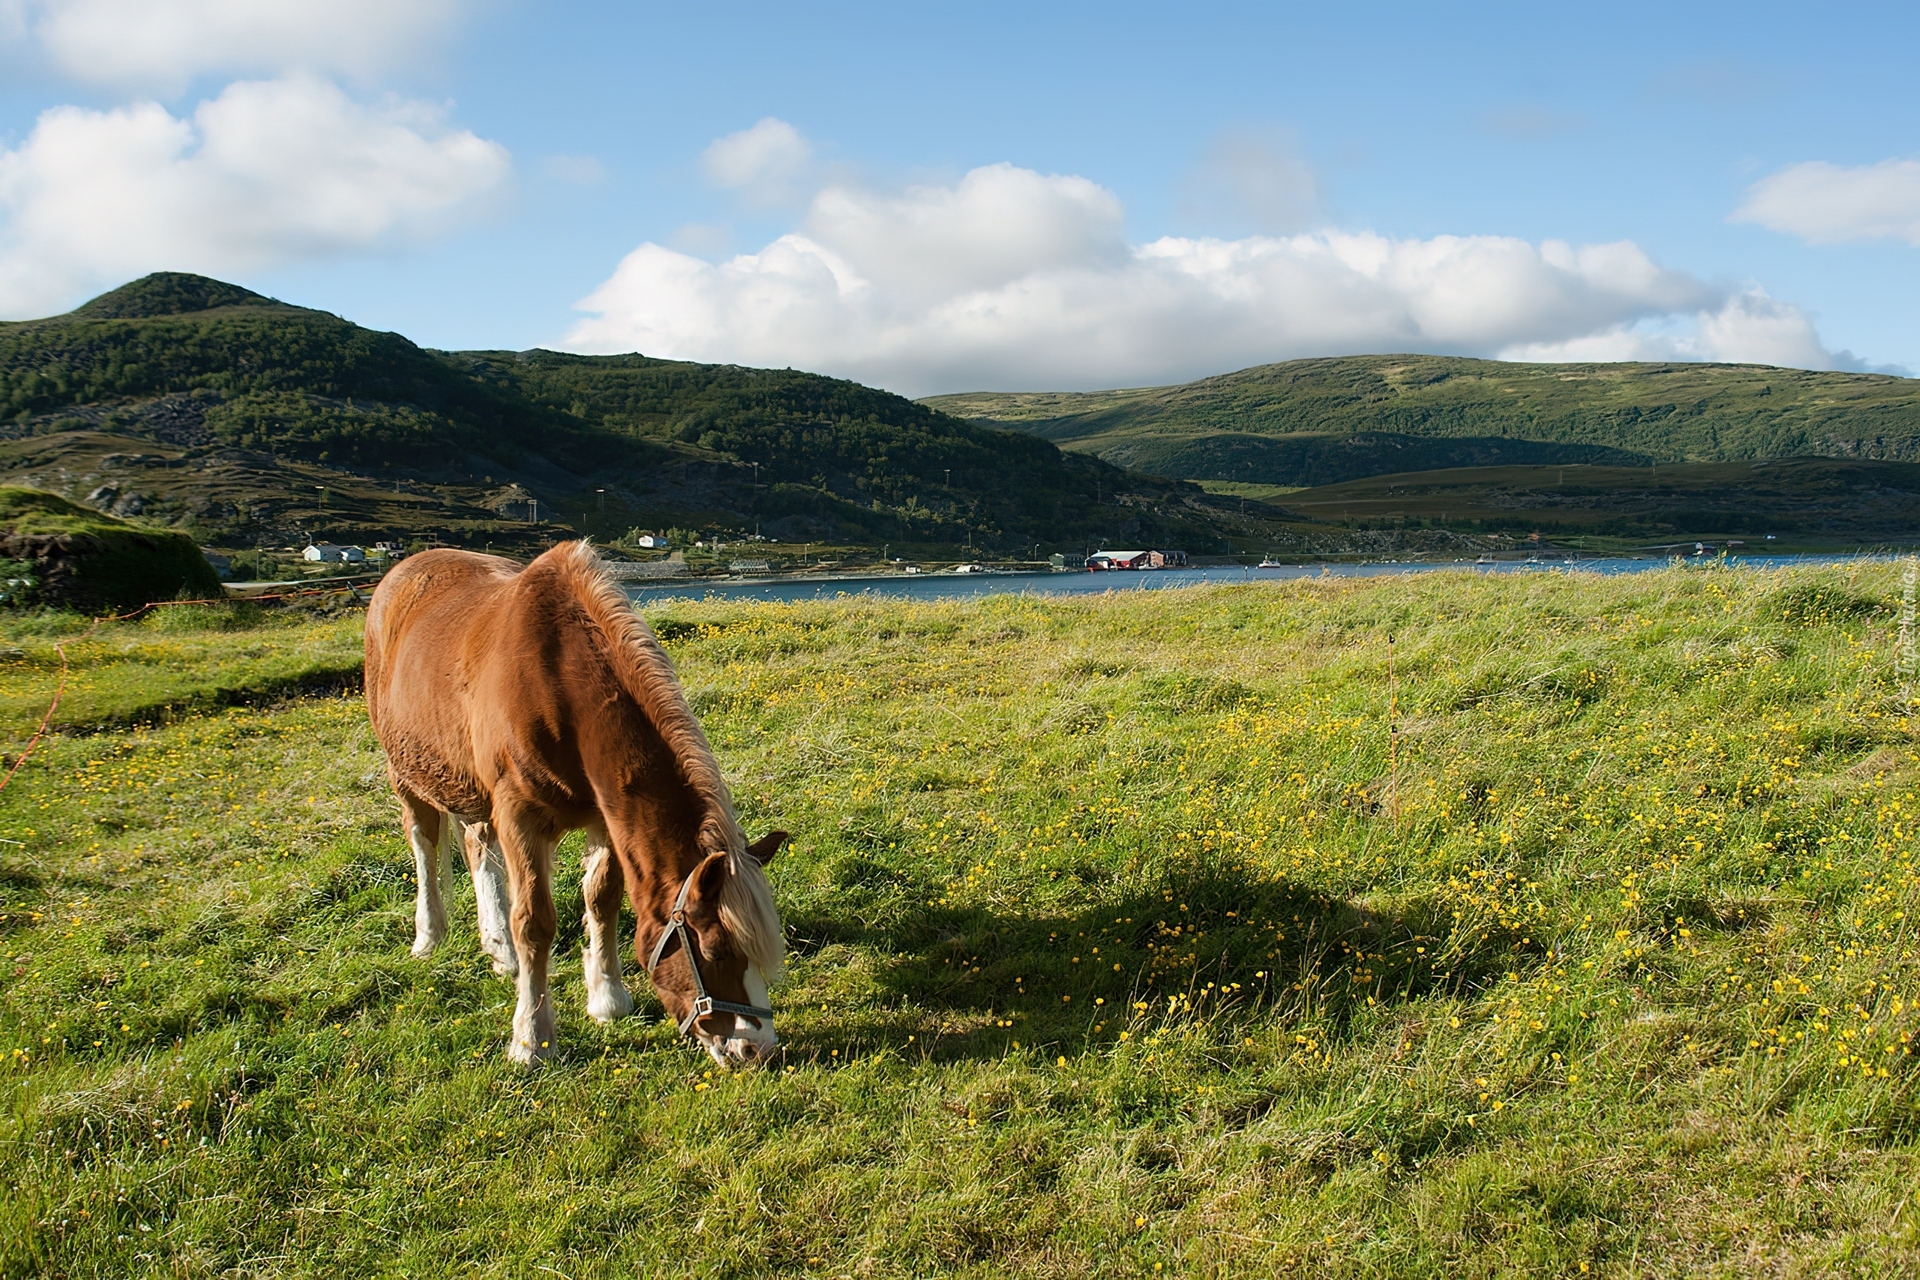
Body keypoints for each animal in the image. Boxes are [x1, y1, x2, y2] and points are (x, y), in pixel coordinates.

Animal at [362, 537, 783, 1066]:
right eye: (716, 952)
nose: (758, 1047)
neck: (557, 684)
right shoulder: (519, 815)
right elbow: (534, 922)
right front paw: (532, 1038)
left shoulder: (605, 815)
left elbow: (601, 899)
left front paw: (608, 998)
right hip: (405, 771)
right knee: (423, 844)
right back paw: (430, 934)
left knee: (478, 847)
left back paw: (498, 948)